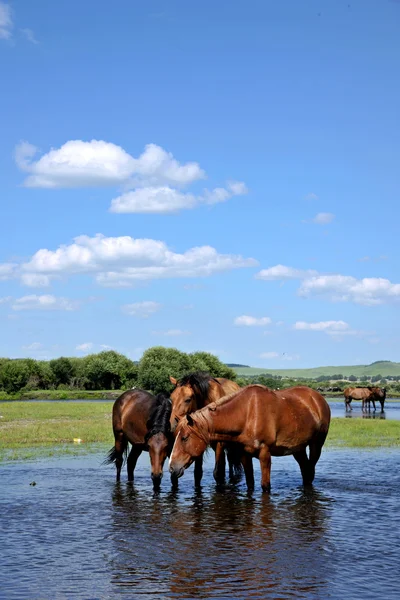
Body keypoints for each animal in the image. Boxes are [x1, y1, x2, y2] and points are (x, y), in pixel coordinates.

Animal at [170, 384, 332, 492]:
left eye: (184, 438)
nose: (172, 467)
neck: (247, 414)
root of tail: (318, 398)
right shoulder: (244, 455)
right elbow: (250, 483)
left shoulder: (265, 454)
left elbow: (265, 486)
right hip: (298, 449)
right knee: (305, 470)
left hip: (316, 445)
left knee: (310, 471)